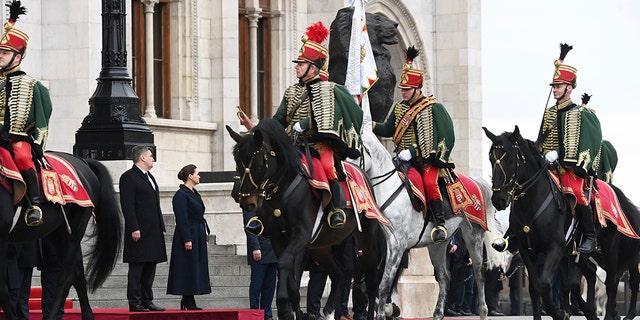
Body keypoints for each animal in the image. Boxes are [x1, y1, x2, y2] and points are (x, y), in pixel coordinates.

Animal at [0, 152, 122, 320]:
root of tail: (81, 160)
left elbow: (2, 288)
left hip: (73, 231)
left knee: (66, 278)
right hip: (58, 235)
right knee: (77, 273)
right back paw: (88, 314)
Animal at [228, 119, 382, 320]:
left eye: (259, 165)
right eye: (237, 162)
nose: (247, 202)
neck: (283, 191)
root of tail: (363, 174)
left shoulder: (300, 235)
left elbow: (285, 263)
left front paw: (283, 303)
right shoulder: (279, 240)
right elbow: (292, 281)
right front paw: (292, 311)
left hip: (367, 238)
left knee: (371, 283)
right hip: (321, 247)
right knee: (339, 274)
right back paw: (331, 312)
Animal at [358, 129, 508, 320]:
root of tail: (476, 183)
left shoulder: (397, 245)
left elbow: (383, 285)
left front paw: (386, 310)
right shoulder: (383, 247)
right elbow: (370, 285)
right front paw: (385, 308)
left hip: (473, 236)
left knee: (478, 274)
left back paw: (483, 311)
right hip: (437, 244)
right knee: (445, 278)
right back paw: (437, 313)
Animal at [484, 127, 640, 320]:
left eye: (511, 159)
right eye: (492, 159)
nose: (499, 200)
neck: (533, 202)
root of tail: (613, 191)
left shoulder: (555, 248)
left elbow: (544, 284)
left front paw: (559, 312)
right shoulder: (527, 251)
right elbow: (535, 288)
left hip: (609, 248)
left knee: (612, 282)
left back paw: (611, 314)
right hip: (575, 253)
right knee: (590, 273)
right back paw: (591, 311)